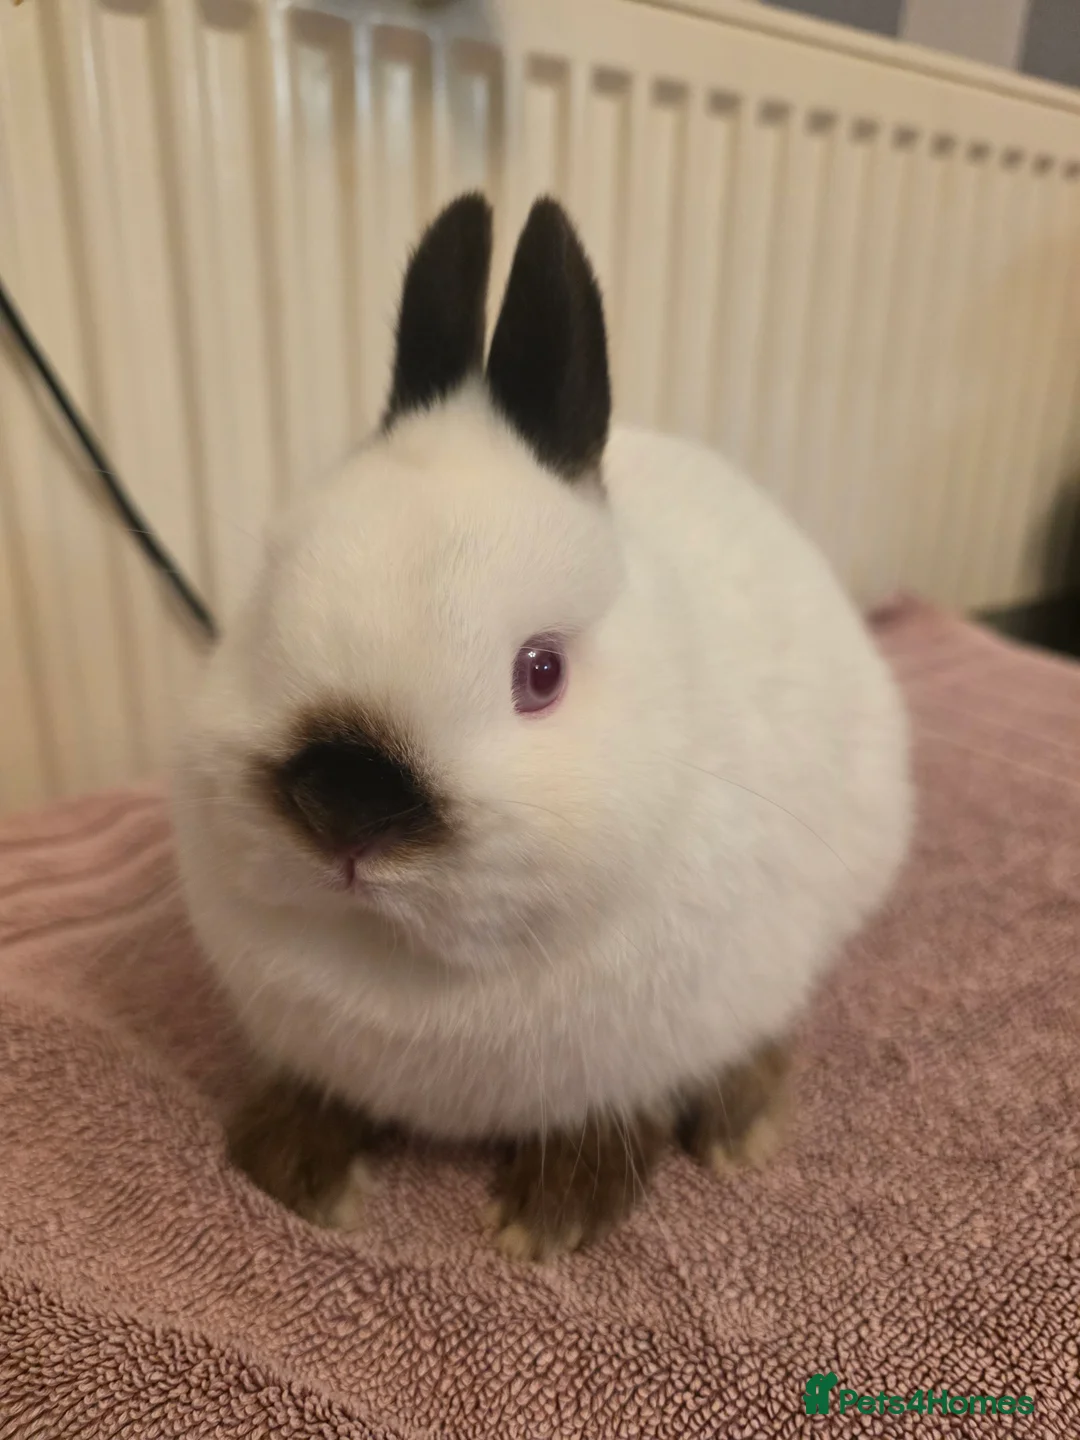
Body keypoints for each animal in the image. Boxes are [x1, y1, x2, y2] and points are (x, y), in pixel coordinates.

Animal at [172, 193, 912, 1260]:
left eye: (541, 672)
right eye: (263, 601)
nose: (345, 806)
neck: (410, 969)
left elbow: (618, 1117)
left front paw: (549, 1217)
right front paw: (296, 1172)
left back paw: (741, 1128)